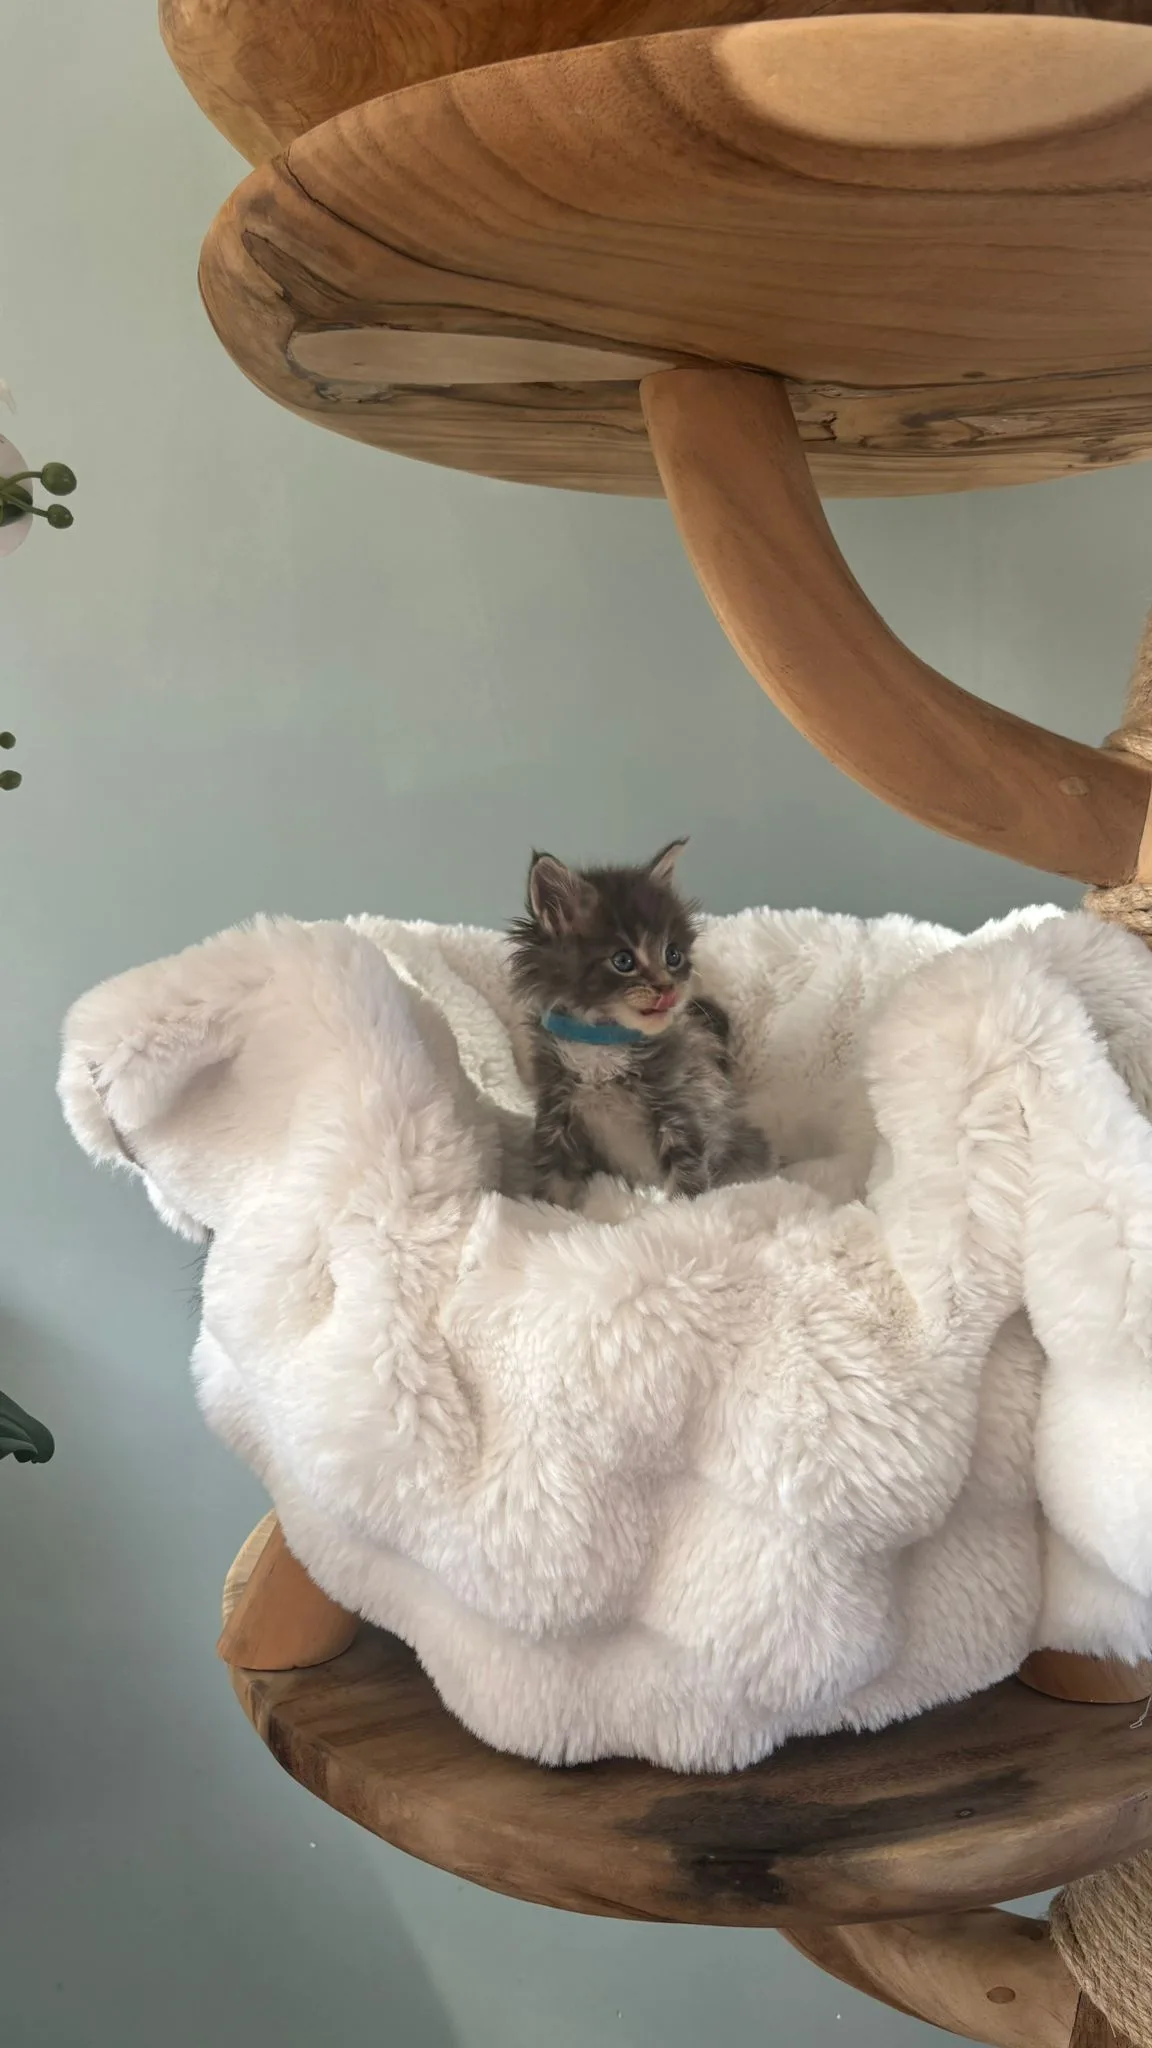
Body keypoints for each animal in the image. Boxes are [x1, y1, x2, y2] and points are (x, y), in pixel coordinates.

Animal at [508, 838, 771, 1208]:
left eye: (673, 955)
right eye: (623, 961)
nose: (669, 989)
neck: (602, 1041)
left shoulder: (681, 1107)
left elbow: (687, 1173)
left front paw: (682, 1213)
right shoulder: (555, 1110)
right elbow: (553, 1179)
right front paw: (547, 1210)